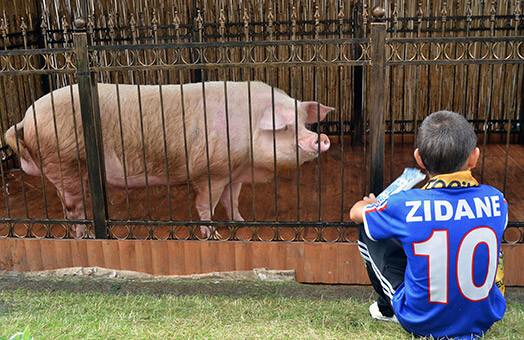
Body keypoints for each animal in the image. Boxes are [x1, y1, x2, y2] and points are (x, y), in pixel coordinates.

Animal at [4, 81, 334, 238]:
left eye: (304, 123)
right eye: (286, 126)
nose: (319, 137)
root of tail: (26, 117)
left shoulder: (233, 172)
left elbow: (233, 200)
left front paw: (243, 223)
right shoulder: (211, 171)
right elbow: (205, 205)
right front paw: (213, 234)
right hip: (65, 162)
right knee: (74, 209)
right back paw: (86, 235)